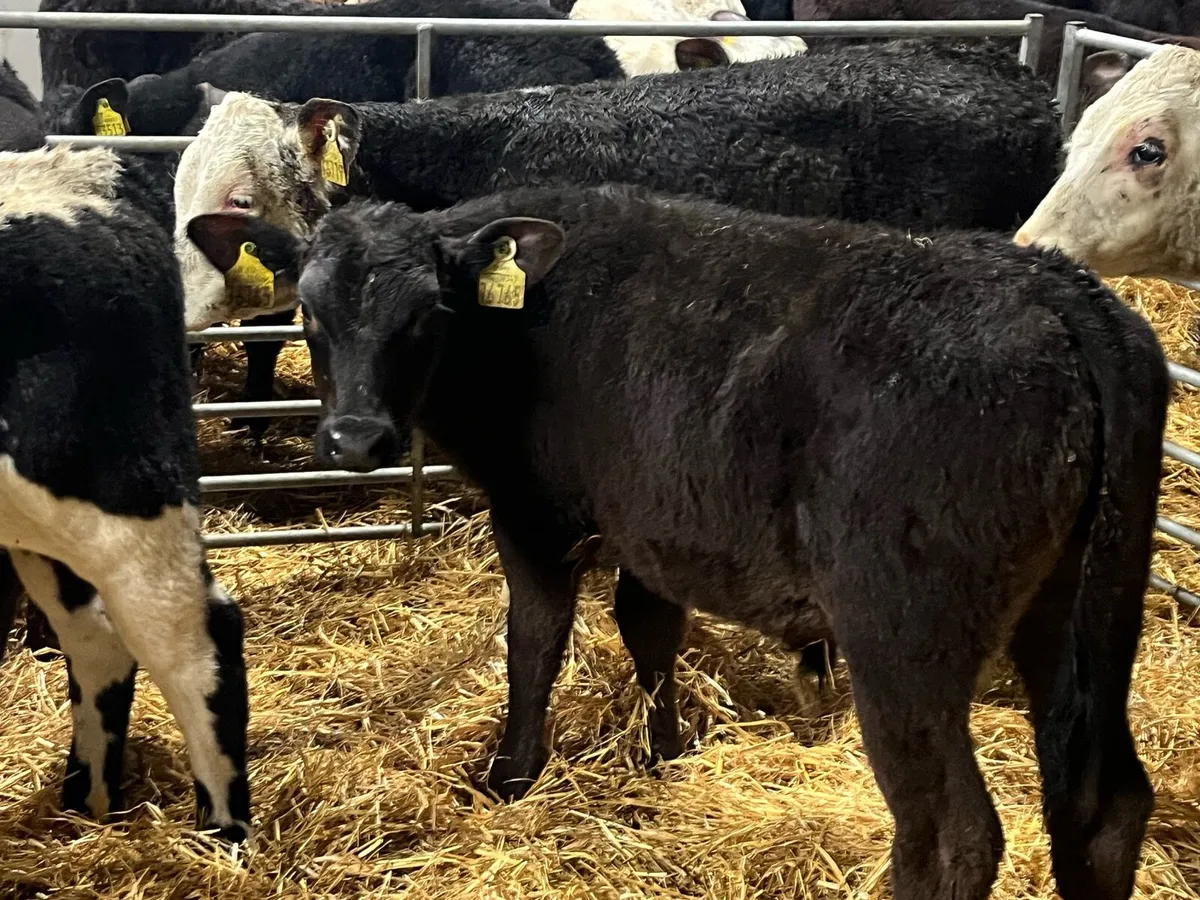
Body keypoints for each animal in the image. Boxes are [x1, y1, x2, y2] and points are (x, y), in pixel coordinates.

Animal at [187, 181, 1167, 899]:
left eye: (428, 313)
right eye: (309, 310)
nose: (356, 439)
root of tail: (1059, 290)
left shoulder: (535, 513)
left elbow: (535, 642)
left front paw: (510, 775)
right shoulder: (657, 522)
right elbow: (649, 630)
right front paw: (664, 754)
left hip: (904, 635)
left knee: (952, 833)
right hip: (1083, 609)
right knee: (1107, 803)